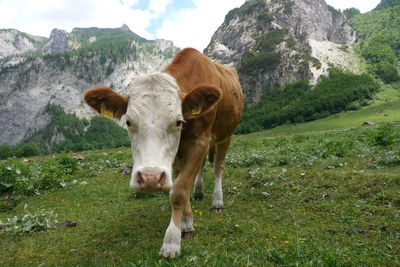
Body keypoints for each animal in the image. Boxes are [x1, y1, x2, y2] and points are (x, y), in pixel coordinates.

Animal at [84, 48, 244, 260]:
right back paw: (199, 191)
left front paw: (172, 241)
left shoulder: (199, 142)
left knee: (218, 166)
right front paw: (186, 220)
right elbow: (180, 183)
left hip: (225, 135)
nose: (149, 178)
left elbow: (178, 190)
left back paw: (217, 201)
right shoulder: (174, 158)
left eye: (178, 121)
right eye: (128, 122)